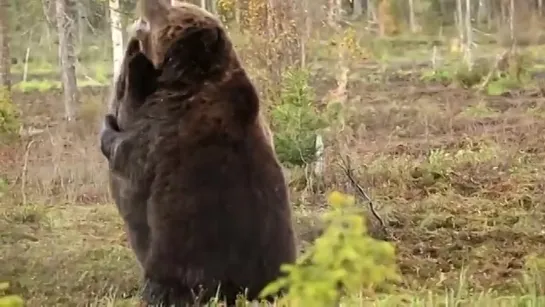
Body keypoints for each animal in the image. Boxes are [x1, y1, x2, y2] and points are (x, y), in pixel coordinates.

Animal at [101, 1, 298, 306]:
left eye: (170, 10)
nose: (150, 3)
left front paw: (109, 124)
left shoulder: (166, 129)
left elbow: (128, 155)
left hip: (186, 260)